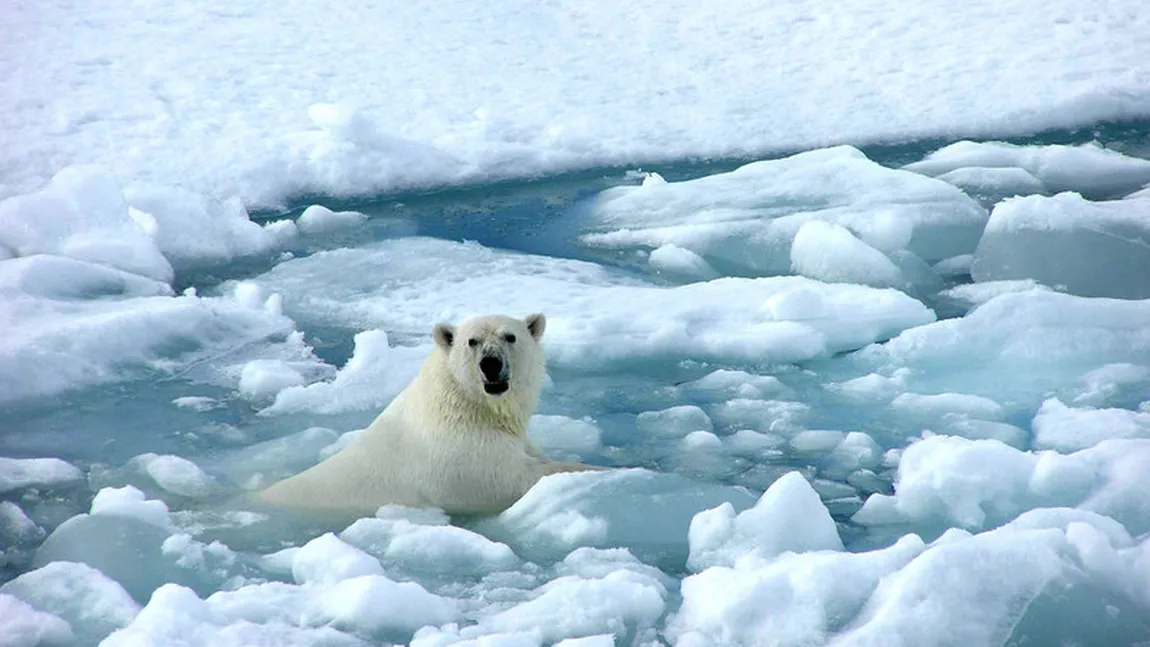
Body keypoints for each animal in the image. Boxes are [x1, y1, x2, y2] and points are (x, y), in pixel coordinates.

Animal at [255, 310, 598, 519]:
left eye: (510, 337)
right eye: (472, 341)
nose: (490, 364)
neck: (468, 407)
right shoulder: (459, 457)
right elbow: (513, 479)